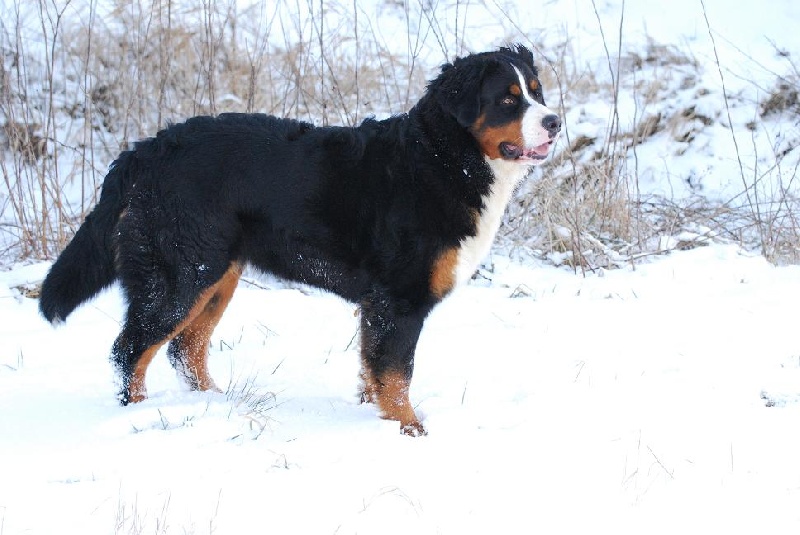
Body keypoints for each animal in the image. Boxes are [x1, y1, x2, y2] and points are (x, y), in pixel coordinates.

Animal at [39, 43, 564, 436]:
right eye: (508, 100)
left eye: (537, 92)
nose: (555, 121)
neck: (443, 158)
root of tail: (143, 151)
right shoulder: (399, 298)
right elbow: (397, 373)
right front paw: (409, 429)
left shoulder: (378, 305)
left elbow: (374, 370)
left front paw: (375, 417)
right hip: (179, 276)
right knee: (131, 349)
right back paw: (141, 412)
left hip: (216, 276)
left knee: (184, 349)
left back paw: (214, 404)